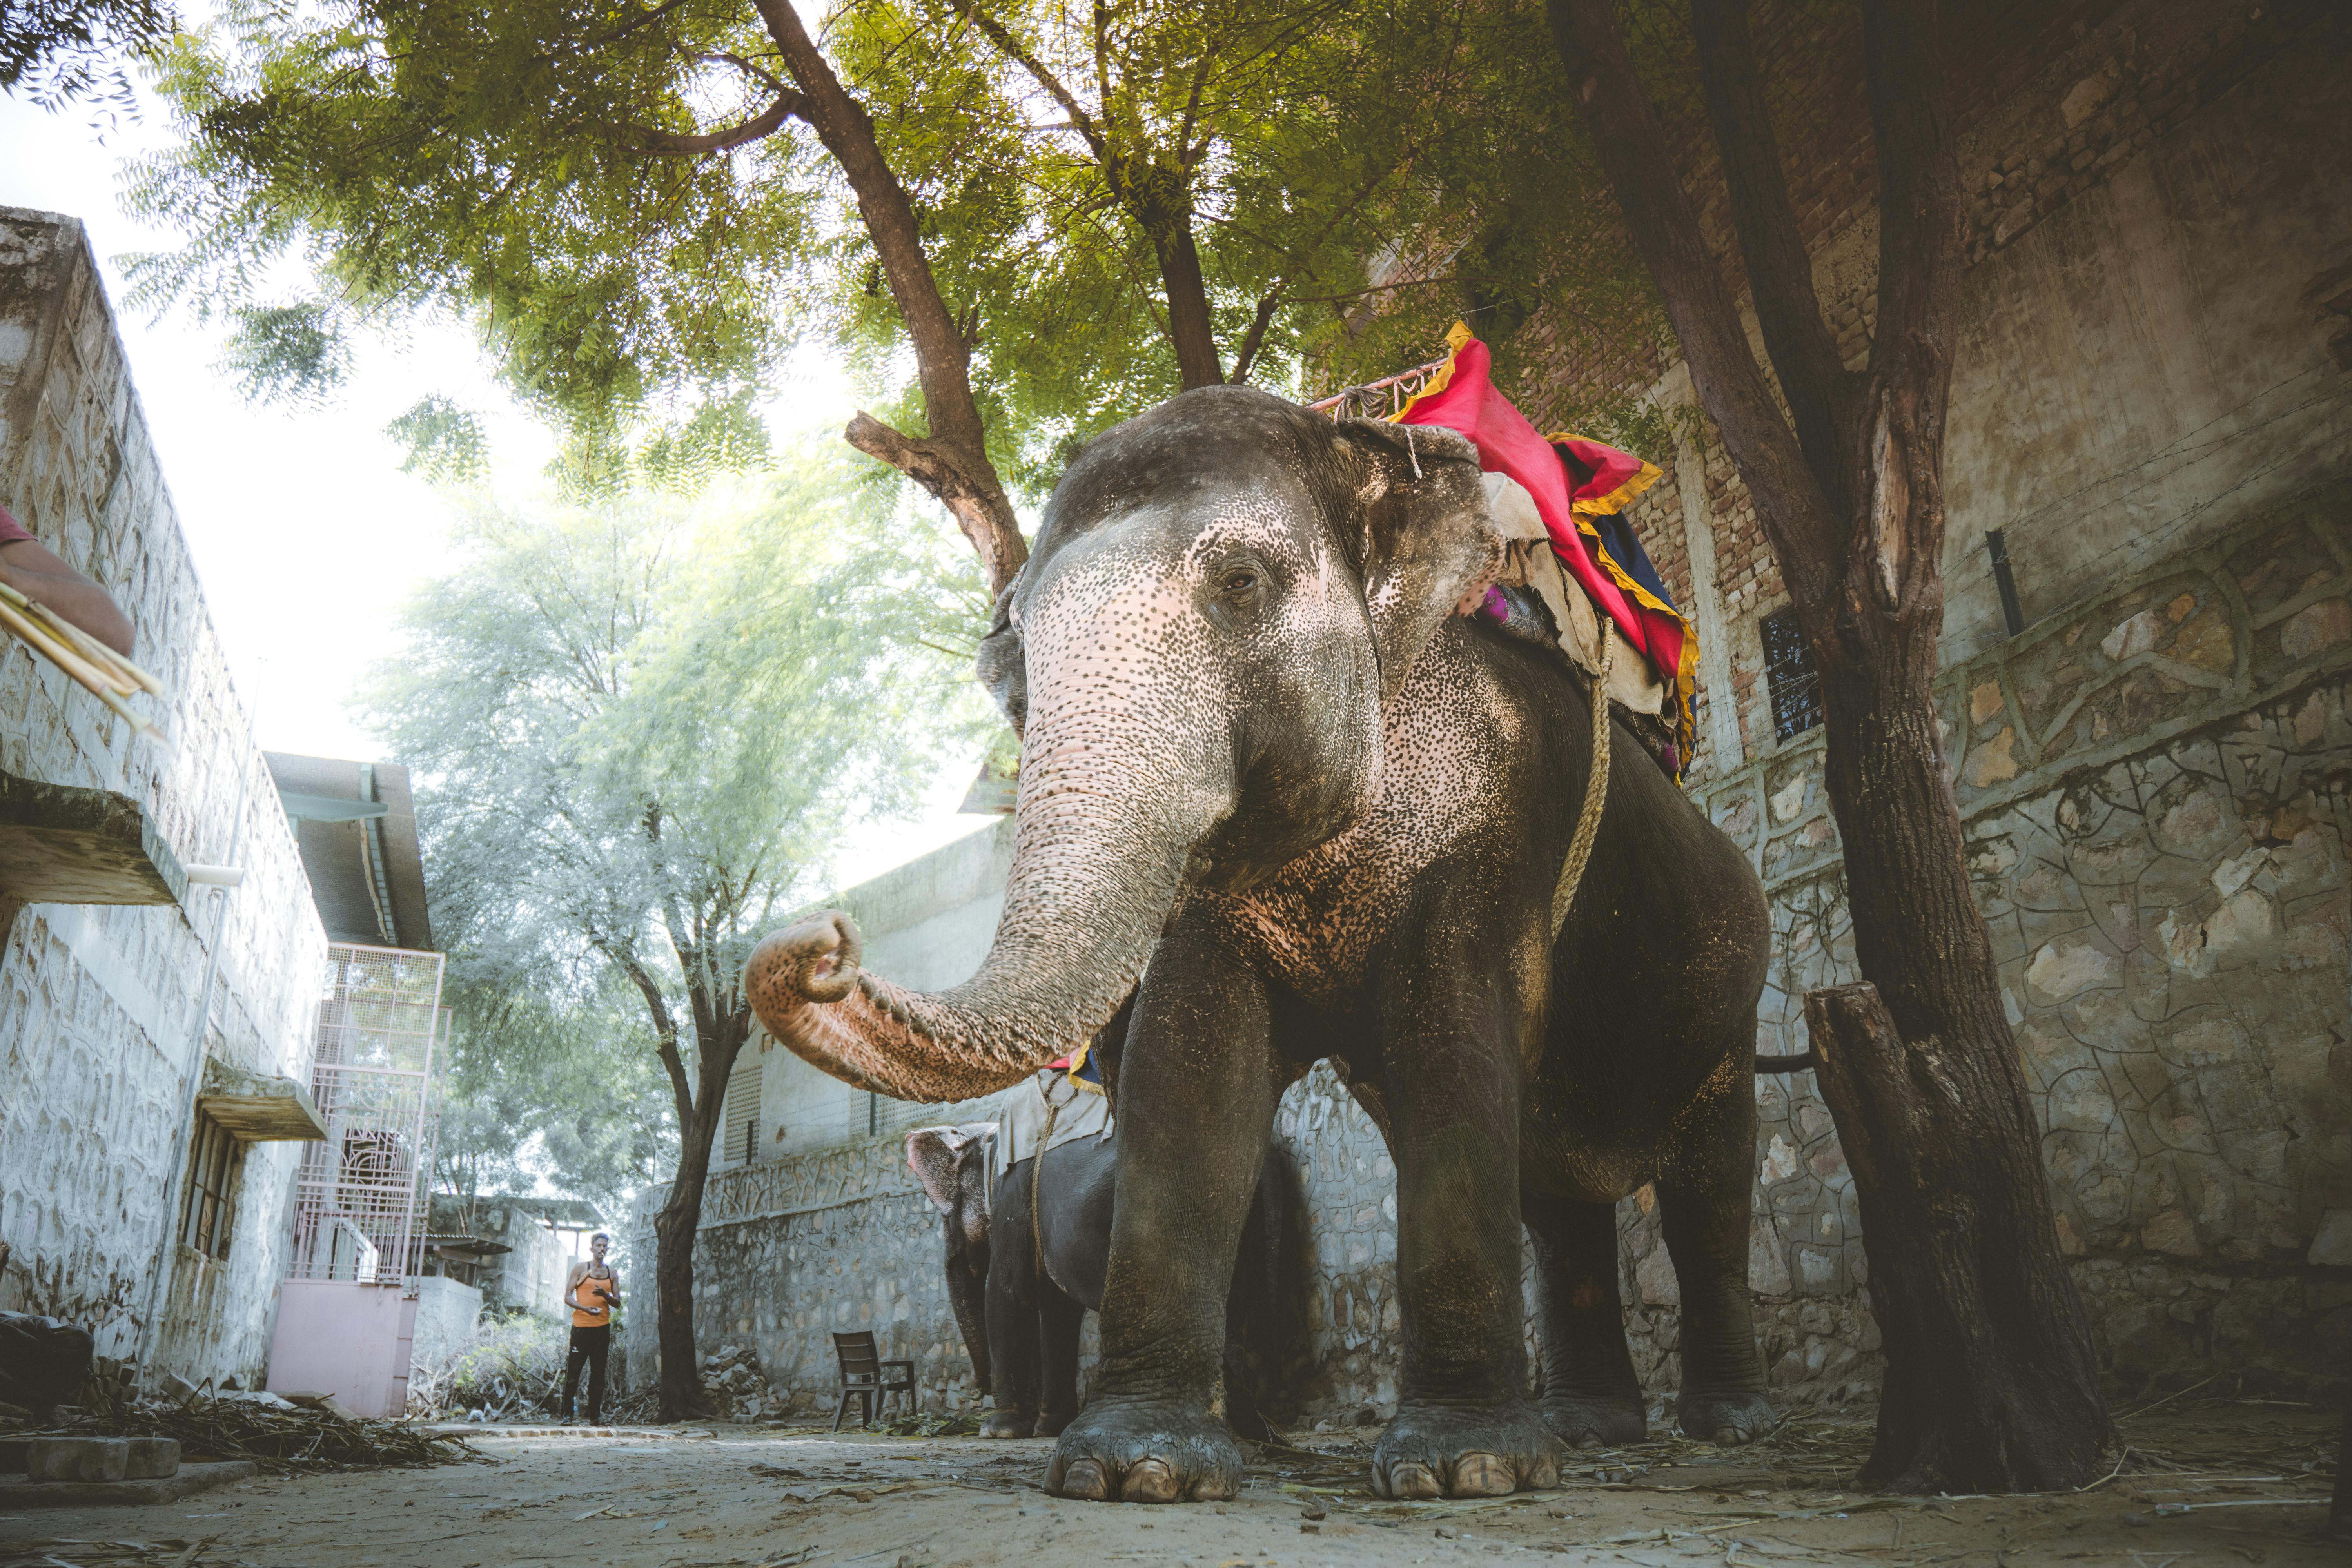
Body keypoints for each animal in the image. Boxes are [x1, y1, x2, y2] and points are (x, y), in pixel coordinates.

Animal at [907, 1106, 1307, 1442]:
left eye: (950, 1213)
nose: (978, 1386)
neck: (987, 1130)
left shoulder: (1013, 1190)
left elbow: (1008, 1291)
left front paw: (998, 1431)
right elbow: (1059, 1310)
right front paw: (1050, 1428)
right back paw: (1249, 1425)